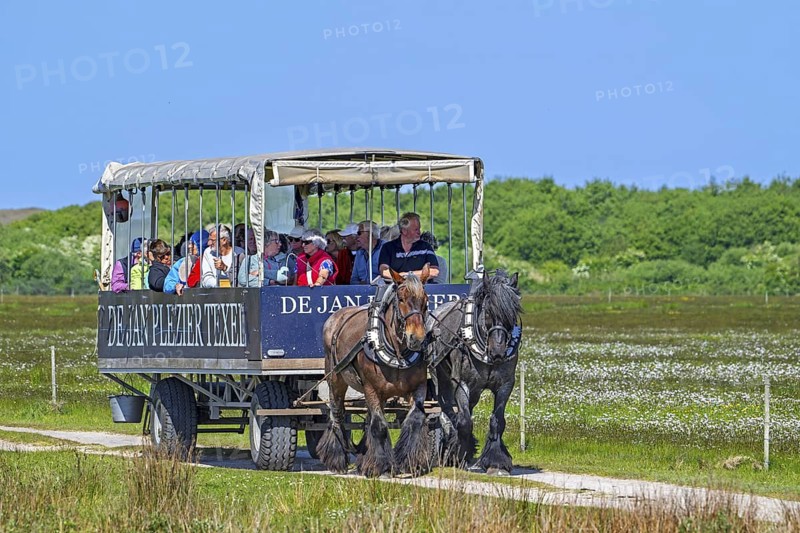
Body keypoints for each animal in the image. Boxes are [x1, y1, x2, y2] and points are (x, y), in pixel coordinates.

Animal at [317, 265, 433, 477]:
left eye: (425, 300)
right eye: (401, 299)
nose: (417, 339)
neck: (398, 353)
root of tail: (335, 318)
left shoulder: (419, 387)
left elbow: (415, 419)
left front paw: (409, 461)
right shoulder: (371, 388)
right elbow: (379, 426)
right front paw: (382, 465)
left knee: (368, 418)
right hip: (336, 378)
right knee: (337, 413)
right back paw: (337, 459)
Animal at [429, 269, 522, 474]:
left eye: (513, 313)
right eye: (488, 312)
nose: (498, 352)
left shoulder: (505, 385)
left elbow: (497, 421)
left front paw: (496, 461)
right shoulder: (461, 384)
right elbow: (464, 422)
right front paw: (458, 456)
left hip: (475, 391)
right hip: (440, 377)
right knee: (447, 410)